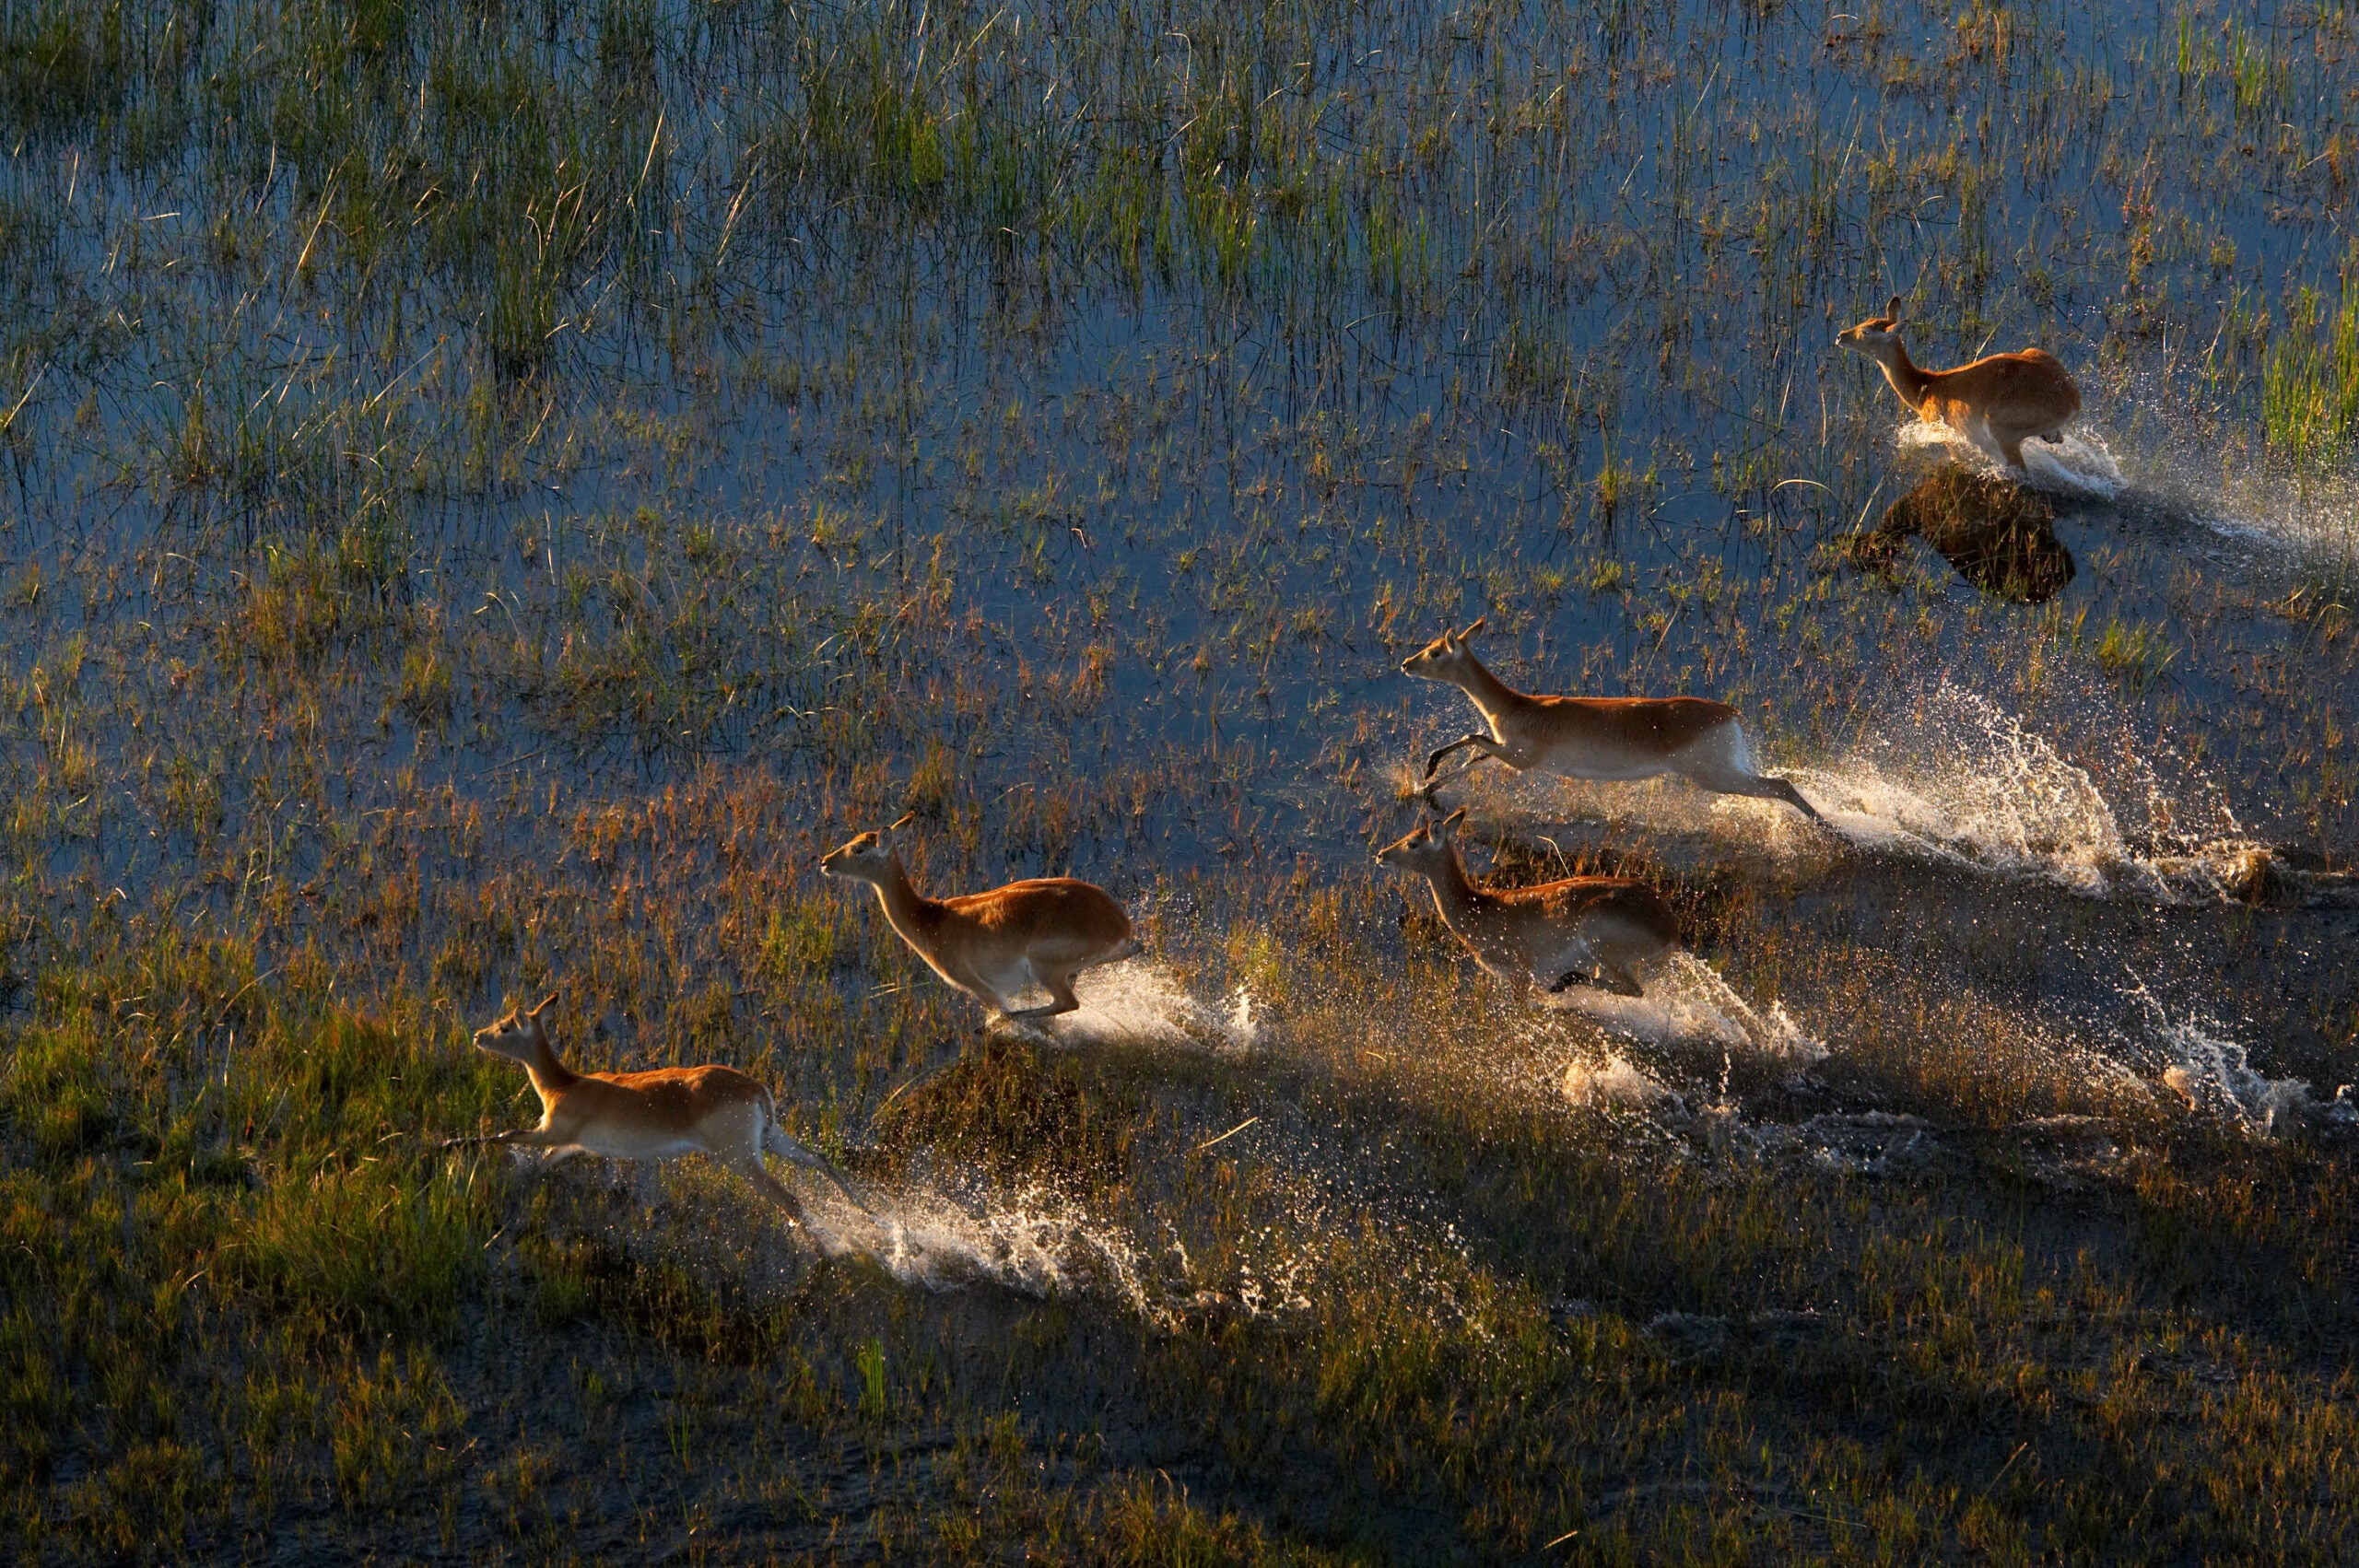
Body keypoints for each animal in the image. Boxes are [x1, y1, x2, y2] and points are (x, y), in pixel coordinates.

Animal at [443, 989, 868, 1225]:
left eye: (505, 1026)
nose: (478, 1036)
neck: (562, 1085)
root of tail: (756, 1089)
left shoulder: (553, 1130)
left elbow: (505, 1134)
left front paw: (448, 1145)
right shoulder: (572, 1145)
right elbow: (540, 1165)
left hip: (739, 1157)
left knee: (791, 1202)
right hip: (771, 1138)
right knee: (821, 1161)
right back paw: (869, 1214)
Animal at [820, 820, 1142, 1027]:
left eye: (859, 849)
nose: (825, 862)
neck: (930, 919)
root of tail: (1119, 924)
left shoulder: (982, 988)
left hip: (1045, 968)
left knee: (1065, 1003)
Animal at [1378, 802, 1688, 995]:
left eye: (1412, 843)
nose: (1381, 855)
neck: (1478, 910)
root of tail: (1670, 930)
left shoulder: (1520, 976)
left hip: (1604, 950)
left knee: (1635, 990)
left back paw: (1564, 982)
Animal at [1396, 622, 1821, 825]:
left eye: (1435, 652)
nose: (1405, 665)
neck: (1515, 706)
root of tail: (1729, 712)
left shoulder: (1520, 757)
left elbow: (1471, 736)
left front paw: (1428, 769)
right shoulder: (1507, 753)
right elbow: (1473, 758)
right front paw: (1425, 785)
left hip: (1716, 775)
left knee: (1782, 786)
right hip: (1728, 770)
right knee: (1783, 784)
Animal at [1839, 289, 2085, 466]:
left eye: (1866, 331)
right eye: (1866, 320)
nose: (1841, 336)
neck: (1924, 388)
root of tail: (2072, 400)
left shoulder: (1951, 438)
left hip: (2004, 435)